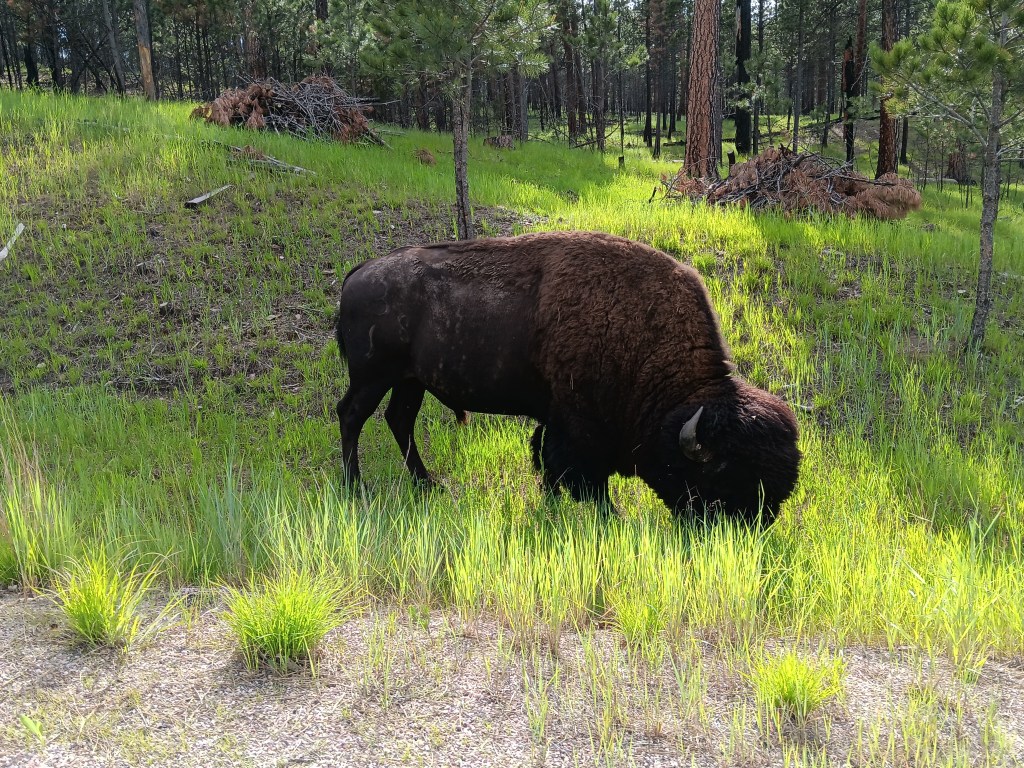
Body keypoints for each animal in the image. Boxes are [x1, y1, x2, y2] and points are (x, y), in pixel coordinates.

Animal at [335, 231, 800, 523]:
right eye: (725, 478)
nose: (747, 531)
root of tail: (358, 272)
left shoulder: (557, 419)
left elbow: (546, 460)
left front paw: (551, 504)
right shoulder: (580, 428)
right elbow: (581, 475)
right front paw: (608, 515)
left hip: (410, 381)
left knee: (399, 420)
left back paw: (428, 486)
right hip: (373, 377)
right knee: (352, 415)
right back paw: (356, 487)